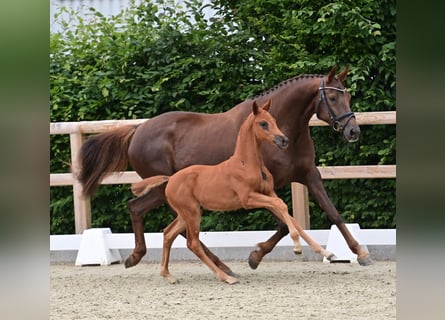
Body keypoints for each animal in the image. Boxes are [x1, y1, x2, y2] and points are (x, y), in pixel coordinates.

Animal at [77, 65, 372, 270]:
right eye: (331, 98)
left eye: (348, 96)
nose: (354, 131)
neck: (283, 130)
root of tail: (138, 130)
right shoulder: (265, 186)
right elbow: (283, 224)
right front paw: (255, 256)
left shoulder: (309, 175)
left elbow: (333, 214)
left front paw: (360, 253)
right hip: (164, 188)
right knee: (157, 217)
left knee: (154, 216)